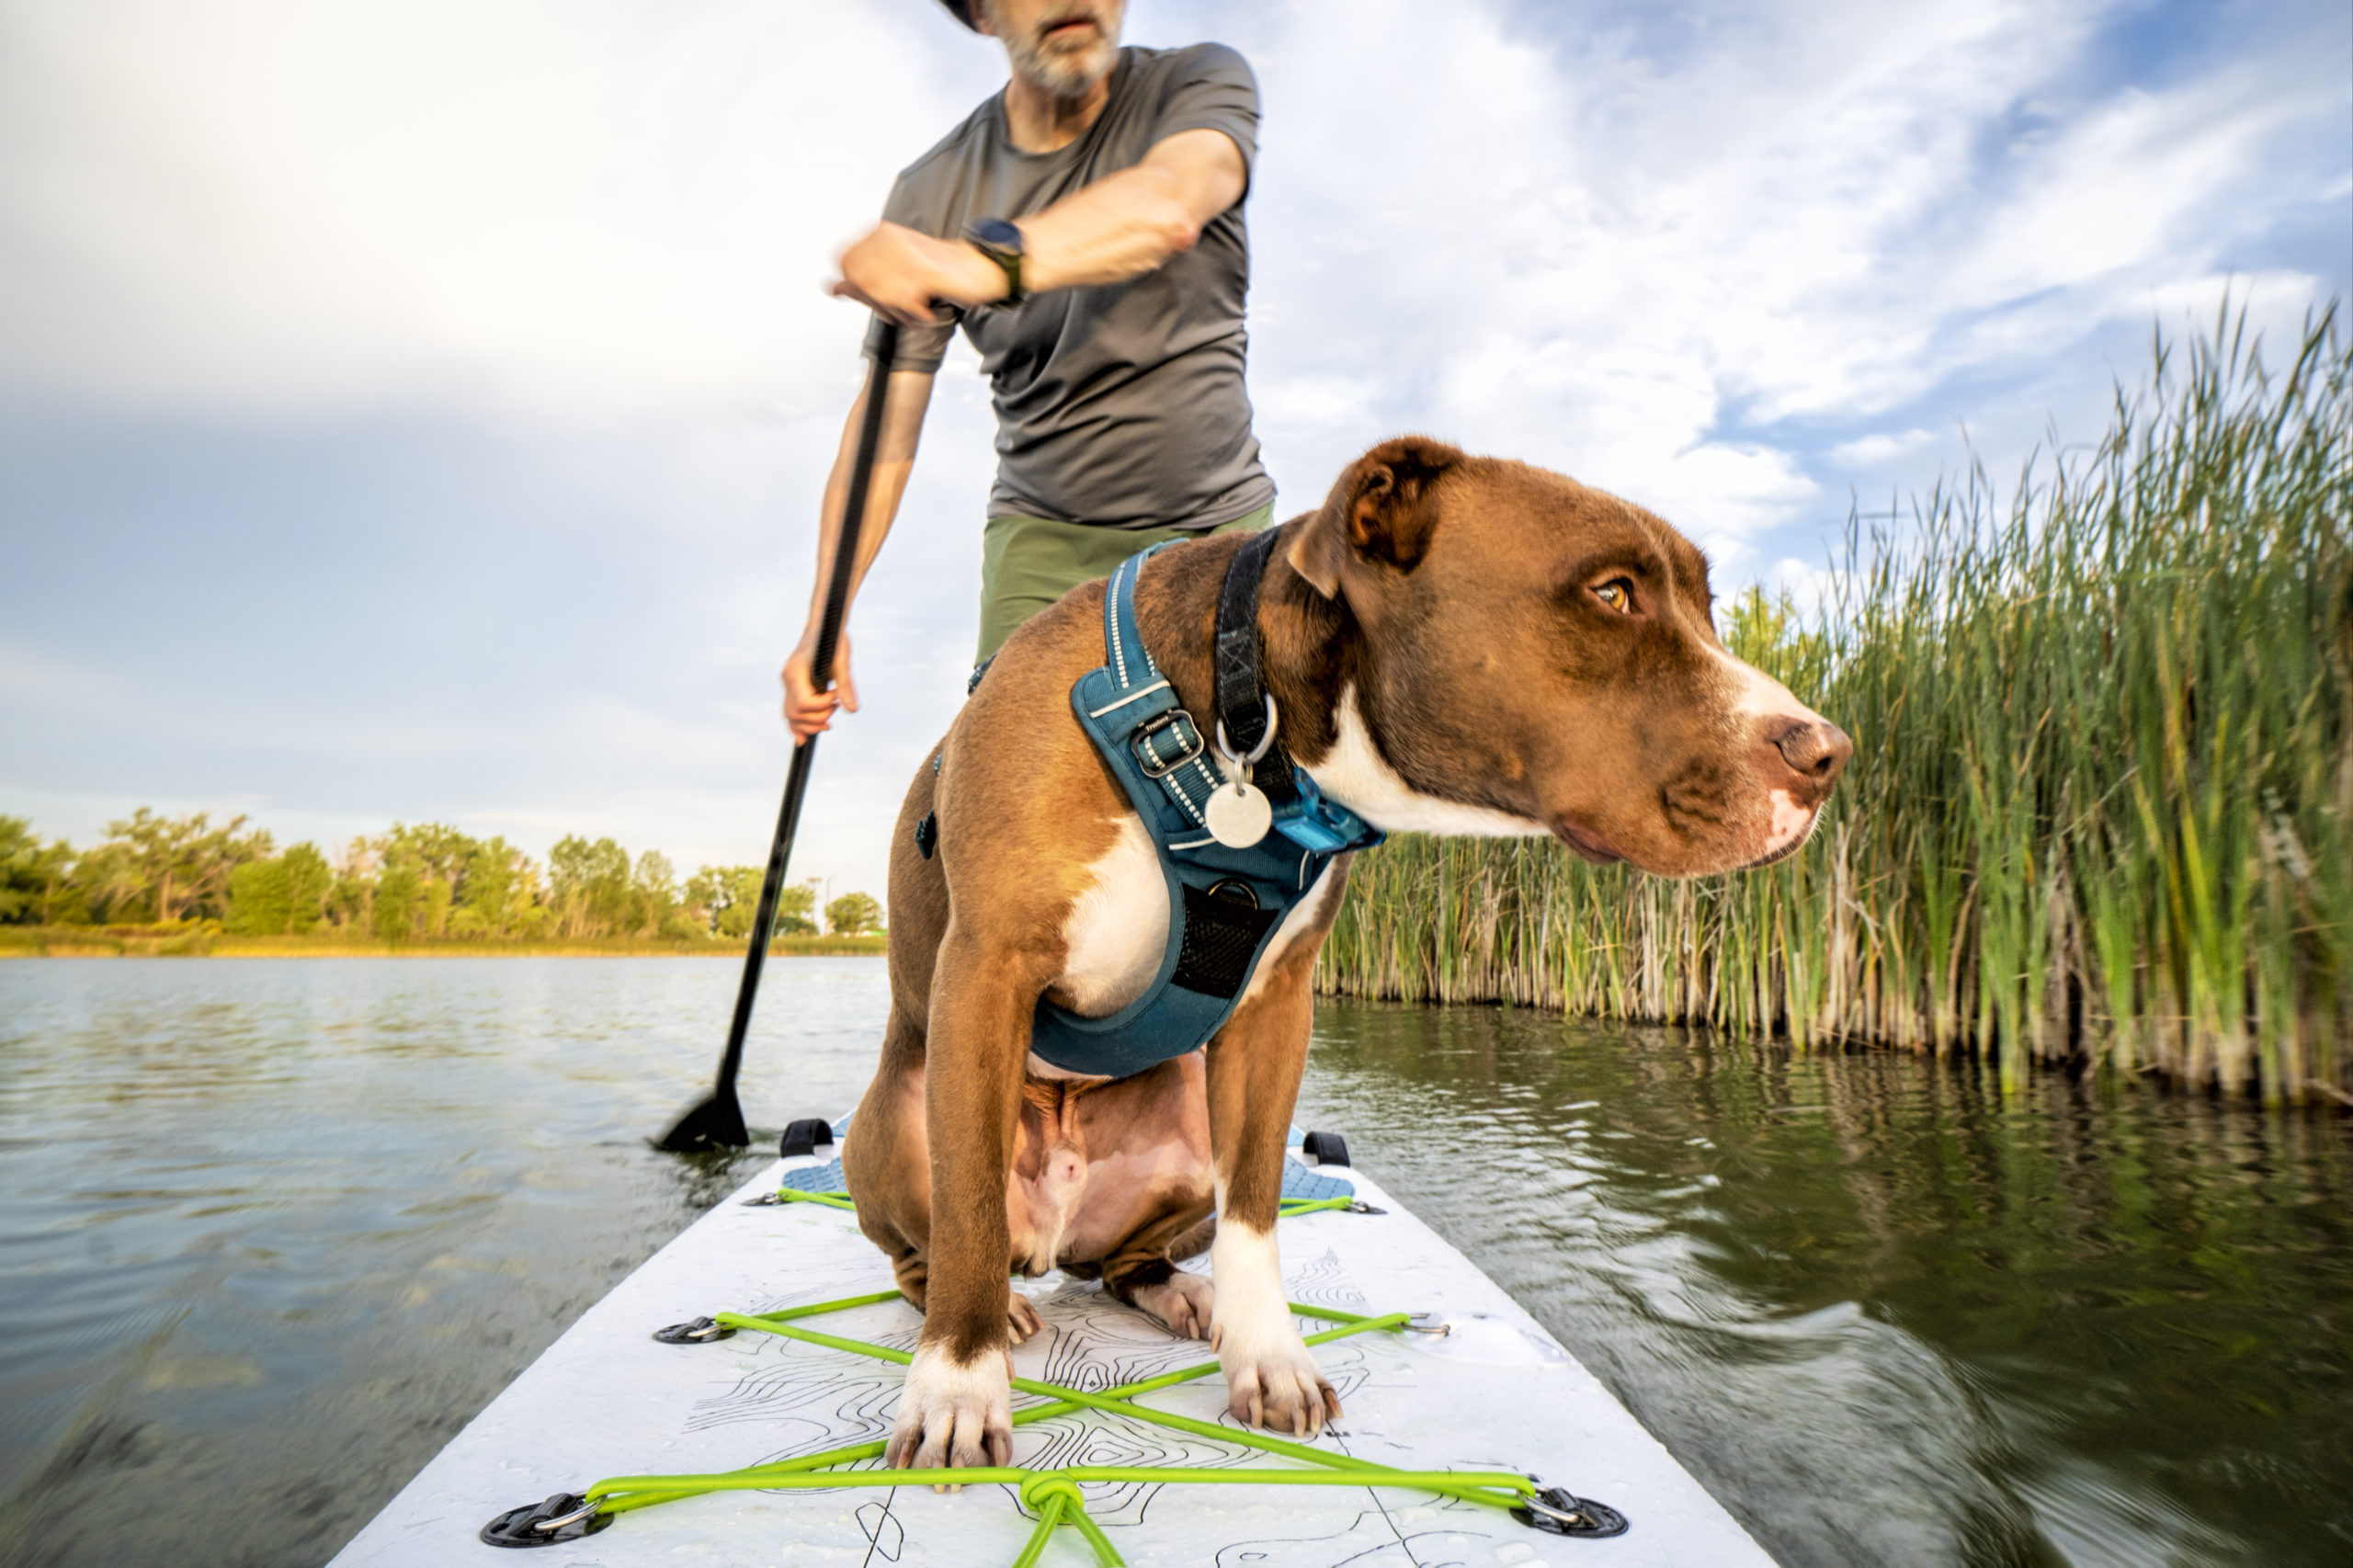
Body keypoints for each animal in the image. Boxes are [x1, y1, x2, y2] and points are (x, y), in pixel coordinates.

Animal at [837, 435, 1845, 1469]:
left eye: (1707, 606)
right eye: (1612, 593)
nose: (1827, 753)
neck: (1232, 719)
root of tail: (1051, 1239)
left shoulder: (1275, 1008)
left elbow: (1254, 1210)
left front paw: (1266, 1358)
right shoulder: (985, 972)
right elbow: (969, 1206)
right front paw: (959, 1386)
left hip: (1183, 1129)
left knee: (1125, 1261)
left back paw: (1176, 1290)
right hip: (894, 1126)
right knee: (932, 1246)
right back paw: (991, 1308)